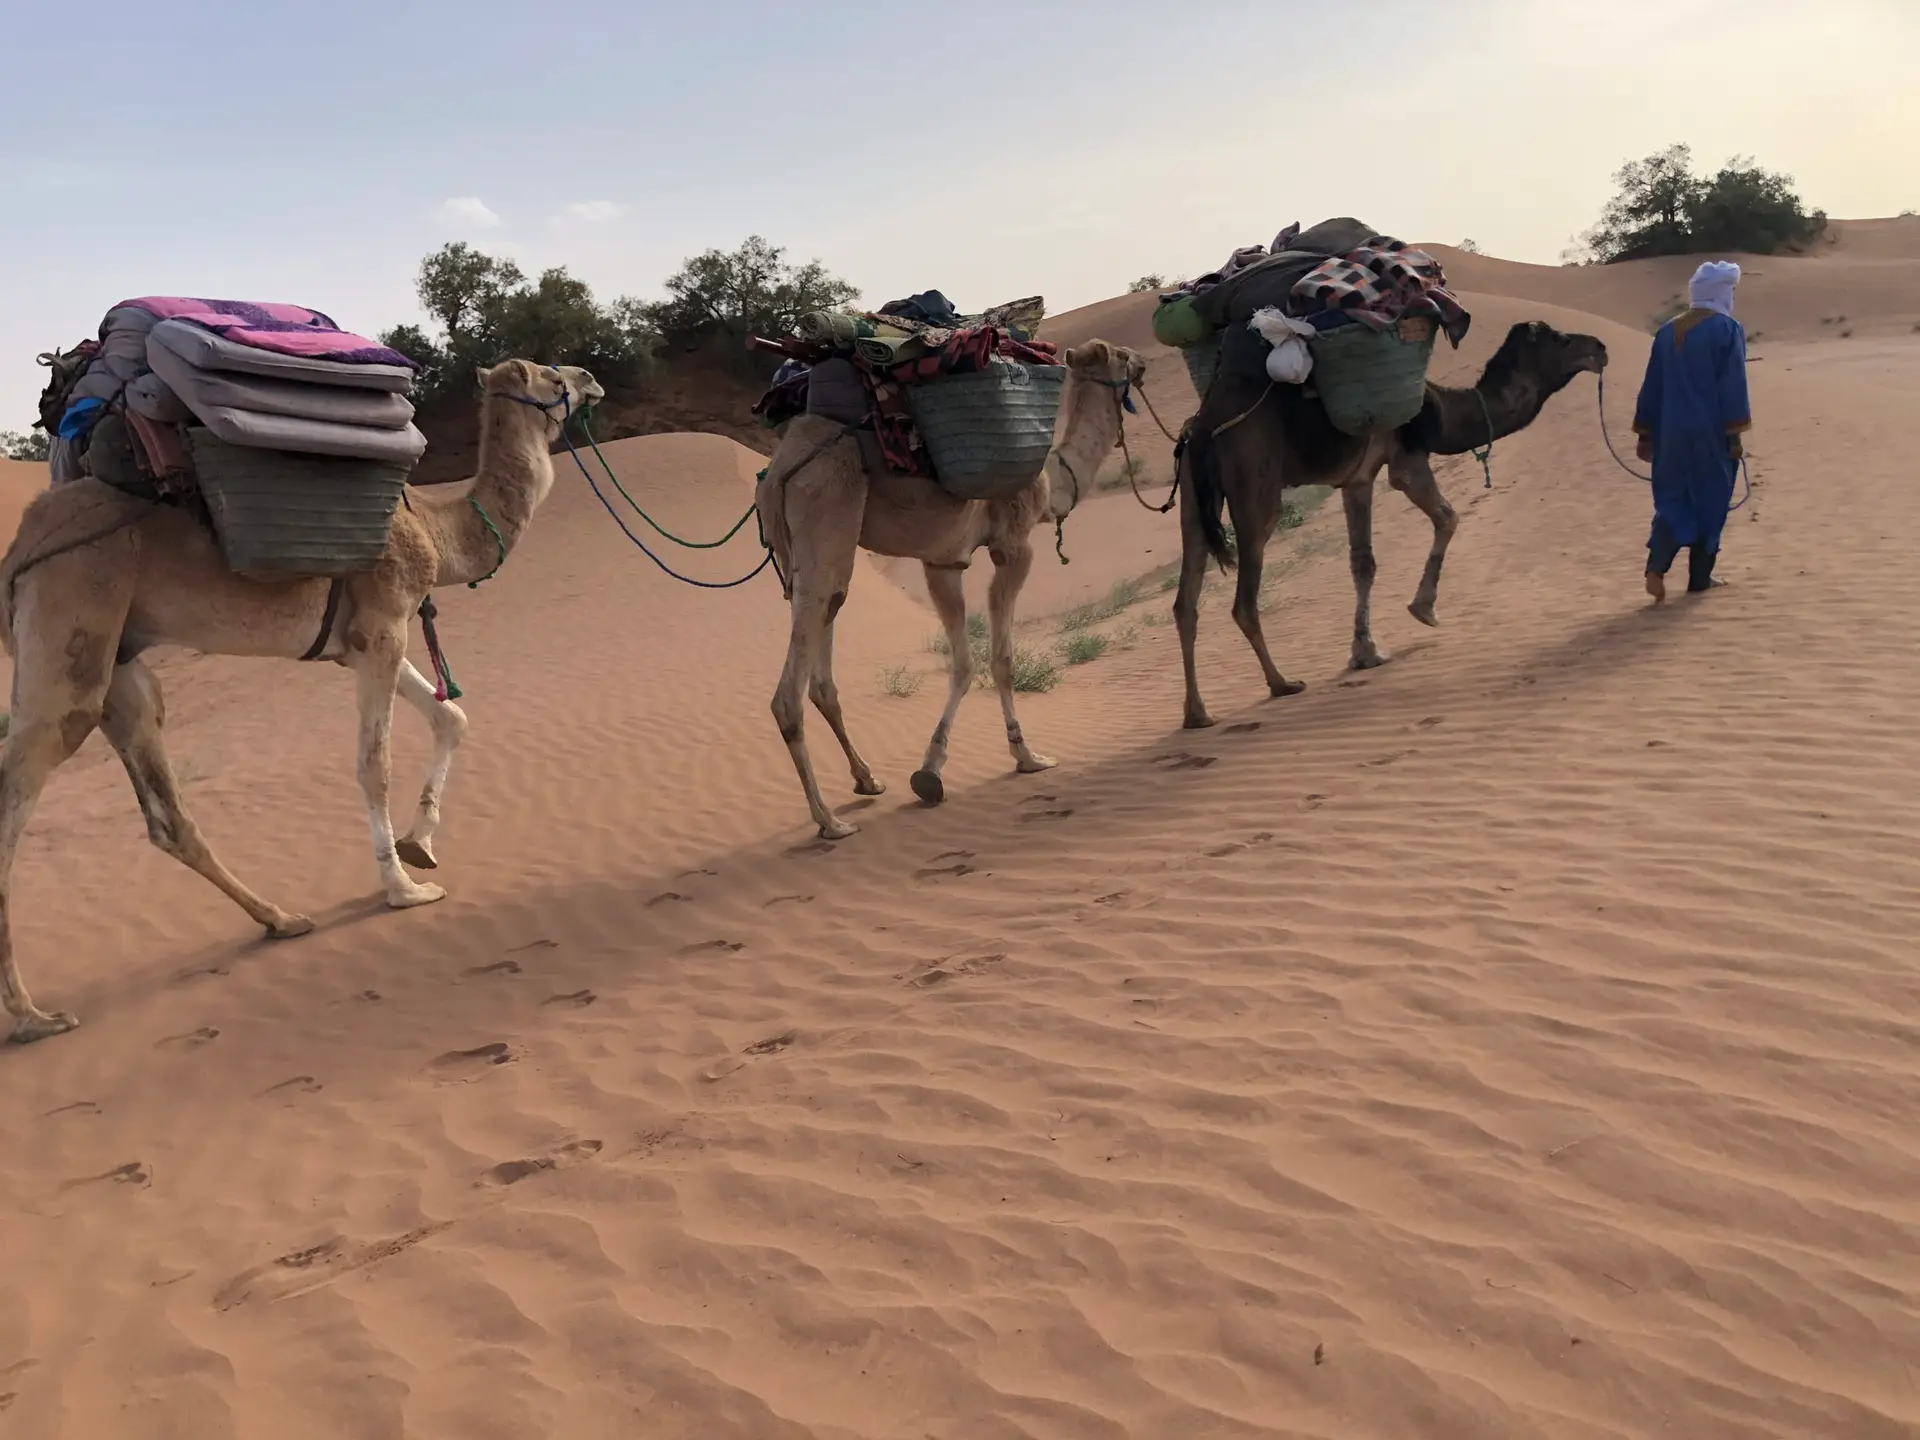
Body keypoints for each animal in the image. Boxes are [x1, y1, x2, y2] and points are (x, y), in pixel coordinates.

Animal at [0, 355, 599, 1044]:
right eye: (552, 377)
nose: (591, 378)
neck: (434, 529)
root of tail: (17, 551)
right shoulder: (386, 623)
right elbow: (373, 764)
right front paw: (402, 888)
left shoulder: (358, 642)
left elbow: (452, 716)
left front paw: (420, 845)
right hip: (70, 618)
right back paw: (34, 1016)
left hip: (120, 665)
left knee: (166, 812)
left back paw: (282, 919)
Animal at [748, 339, 1136, 840]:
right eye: (1124, 357)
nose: (1142, 363)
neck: (1053, 484)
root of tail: (780, 472)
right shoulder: (1014, 548)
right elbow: (1000, 660)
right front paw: (1026, 756)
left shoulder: (943, 562)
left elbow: (964, 663)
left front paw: (930, 769)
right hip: (827, 516)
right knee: (789, 695)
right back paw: (829, 821)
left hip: (805, 556)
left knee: (822, 664)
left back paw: (867, 779)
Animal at [1167, 320, 1605, 725]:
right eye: (1562, 340)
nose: (1599, 348)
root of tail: (1203, 426)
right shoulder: (1405, 458)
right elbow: (1449, 517)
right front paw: (1424, 609)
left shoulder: (1357, 478)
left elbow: (1363, 562)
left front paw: (1366, 651)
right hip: (1255, 491)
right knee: (1243, 600)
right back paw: (1282, 683)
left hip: (1191, 497)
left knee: (1185, 601)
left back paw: (1197, 713)